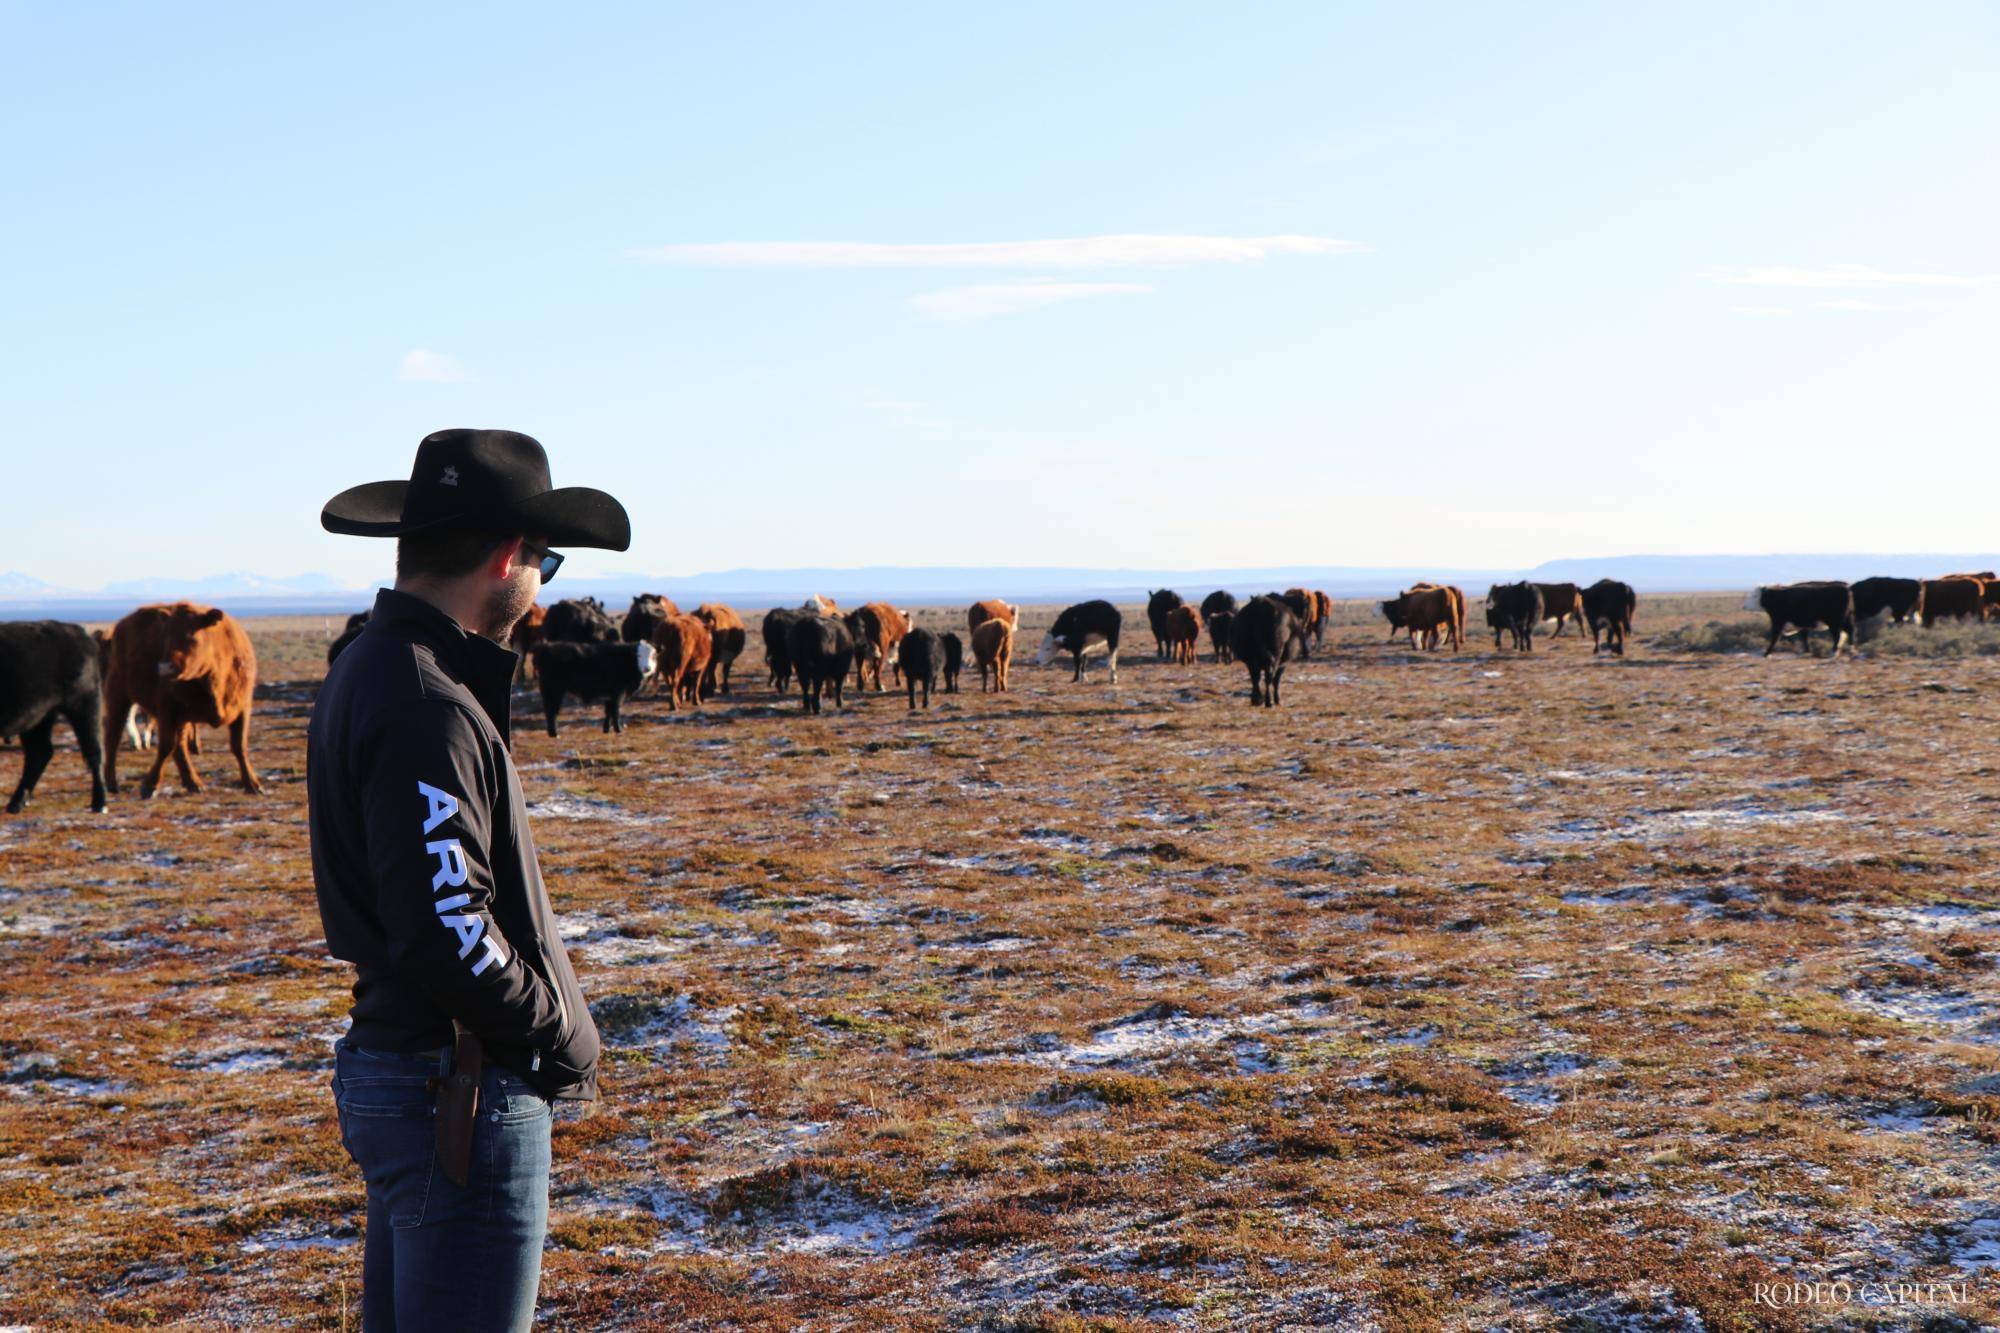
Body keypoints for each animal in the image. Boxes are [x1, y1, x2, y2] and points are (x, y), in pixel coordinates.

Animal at [0, 620, 107, 808]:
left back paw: (99, 803)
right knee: (40, 753)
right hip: (38, 719)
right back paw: (17, 803)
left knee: (93, 751)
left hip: (84, 708)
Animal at [101, 604, 260, 800]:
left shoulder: (243, 708)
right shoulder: (167, 710)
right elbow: (165, 746)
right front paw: (150, 785)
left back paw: (193, 782)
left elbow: (239, 746)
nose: (164, 667)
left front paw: (252, 783)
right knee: (113, 735)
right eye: (166, 638)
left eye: (192, 635)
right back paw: (111, 782)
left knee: (180, 746)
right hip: (118, 695)